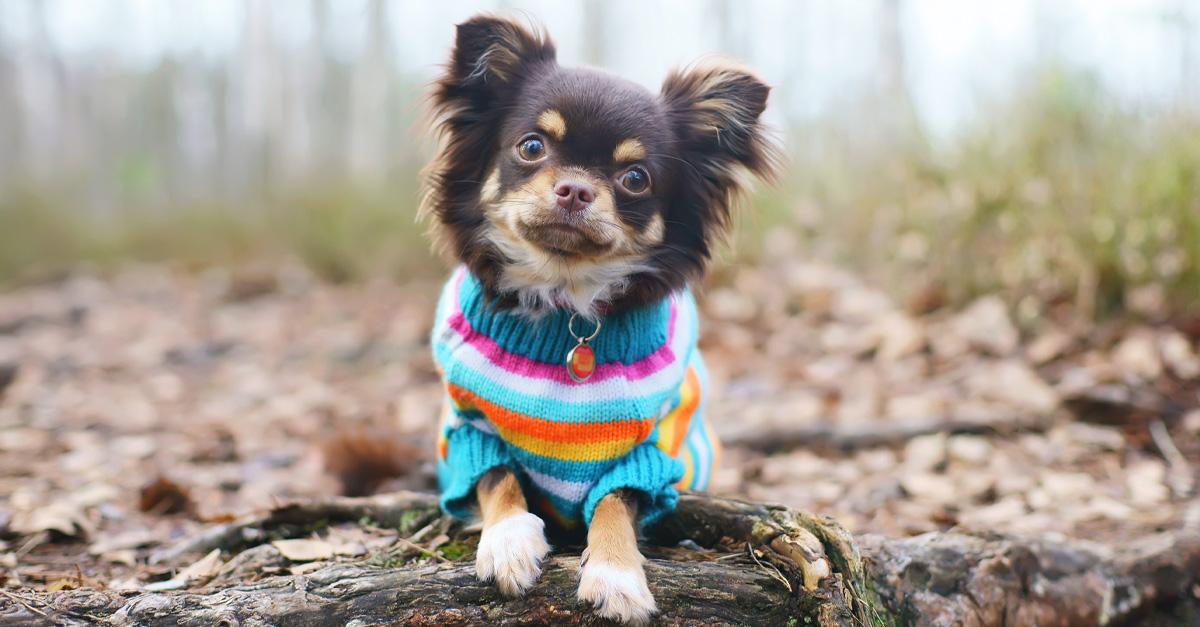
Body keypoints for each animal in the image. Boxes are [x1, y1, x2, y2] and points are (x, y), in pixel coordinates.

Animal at [422, 13, 777, 619]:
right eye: (532, 146)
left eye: (635, 178)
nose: (575, 188)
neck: (566, 302)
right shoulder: (471, 431)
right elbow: (499, 478)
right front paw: (509, 541)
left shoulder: (646, 457)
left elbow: (614, 503)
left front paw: (616, 575)